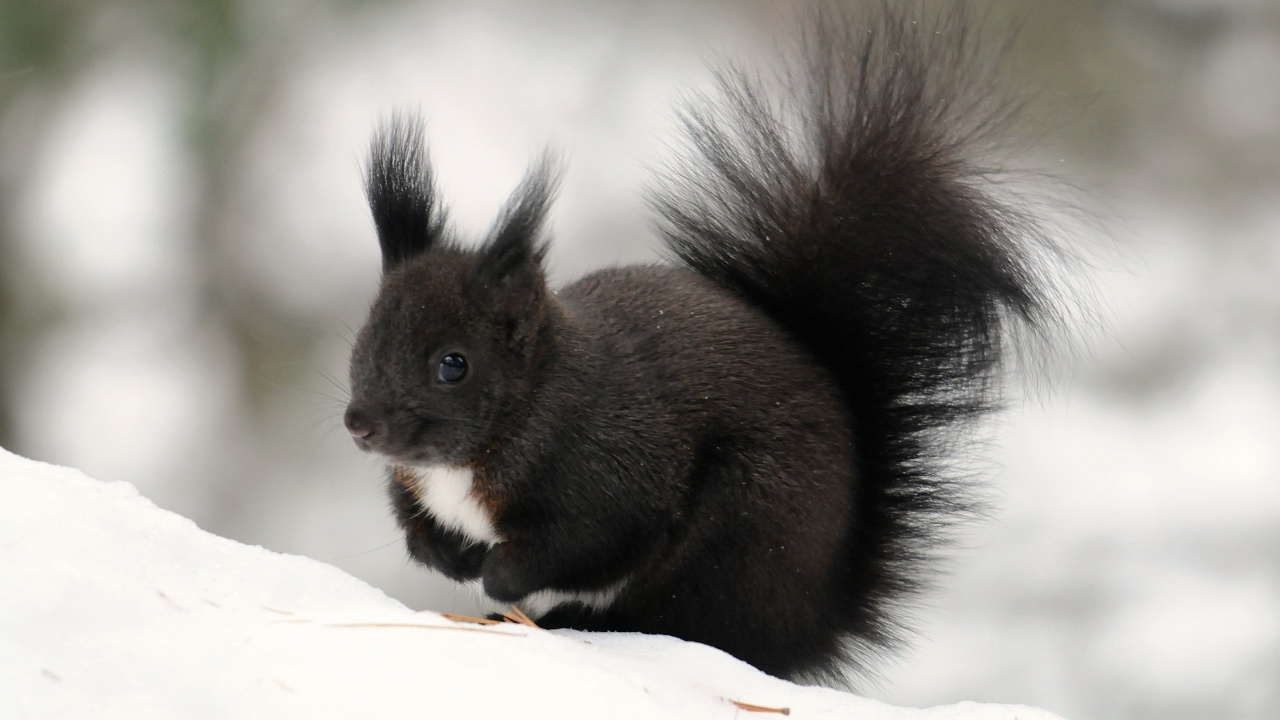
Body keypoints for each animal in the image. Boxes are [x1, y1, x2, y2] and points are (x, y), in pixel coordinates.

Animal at [343, 3, 1065, 684]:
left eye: (453, 365)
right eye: (364, 340)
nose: (360, 425)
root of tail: (817, 619)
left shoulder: (611, 477)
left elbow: (581, 547)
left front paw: (496, 575)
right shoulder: (417, 486)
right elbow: (417, 528)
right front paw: (449, 556)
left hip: (738, 532)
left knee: (682, 619)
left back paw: (571, 618)